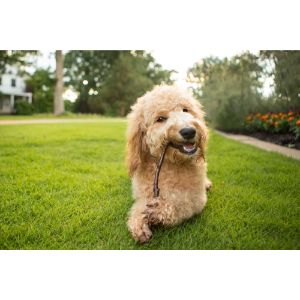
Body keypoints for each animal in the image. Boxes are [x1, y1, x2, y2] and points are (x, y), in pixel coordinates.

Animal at [125, 85, 210, 244]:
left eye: (185, 110)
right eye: (160, 119)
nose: (189, 131)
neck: (170, 164)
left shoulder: (197, 198)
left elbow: (182, 204)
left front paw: (158, 212)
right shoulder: (144, 195)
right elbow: (139, 207)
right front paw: (139, 223)